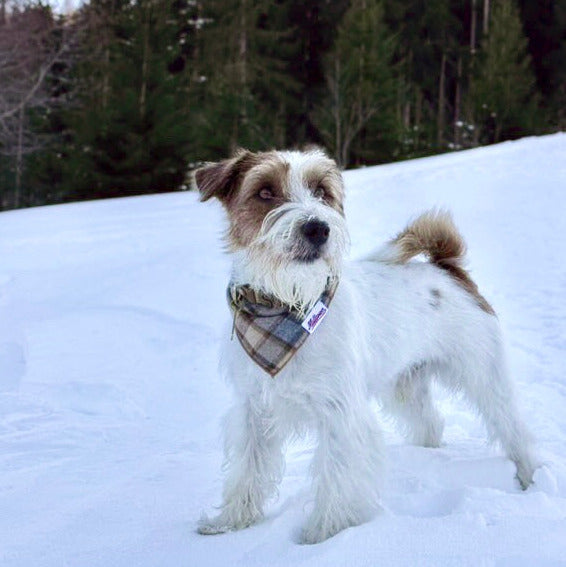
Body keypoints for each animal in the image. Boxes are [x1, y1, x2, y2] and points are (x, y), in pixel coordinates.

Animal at [197, 148, 540, 544]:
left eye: (322, 191)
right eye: (265, 192)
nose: (317, 228)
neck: (289, 305)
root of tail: (447, 269)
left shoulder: (341, 413)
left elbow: (337, 477)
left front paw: (323, 534)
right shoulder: (254, 409)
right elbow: (247, 471)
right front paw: (231, 522)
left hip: (485, 377)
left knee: (516, 432)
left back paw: (531, 481)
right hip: (406, 385)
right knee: (431, 423)